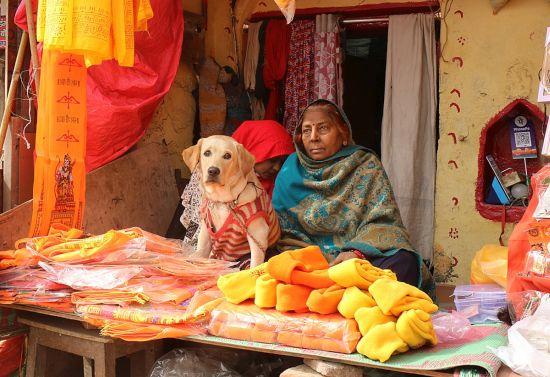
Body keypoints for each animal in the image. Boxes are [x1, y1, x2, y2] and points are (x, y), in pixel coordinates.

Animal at [184, 135, 282, 268]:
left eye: (227, 156)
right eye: (207, 153)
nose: (213, 171)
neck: (222, 200)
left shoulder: (258, 235)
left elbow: (255, 263)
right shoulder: (205, 231)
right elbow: (201, 252)